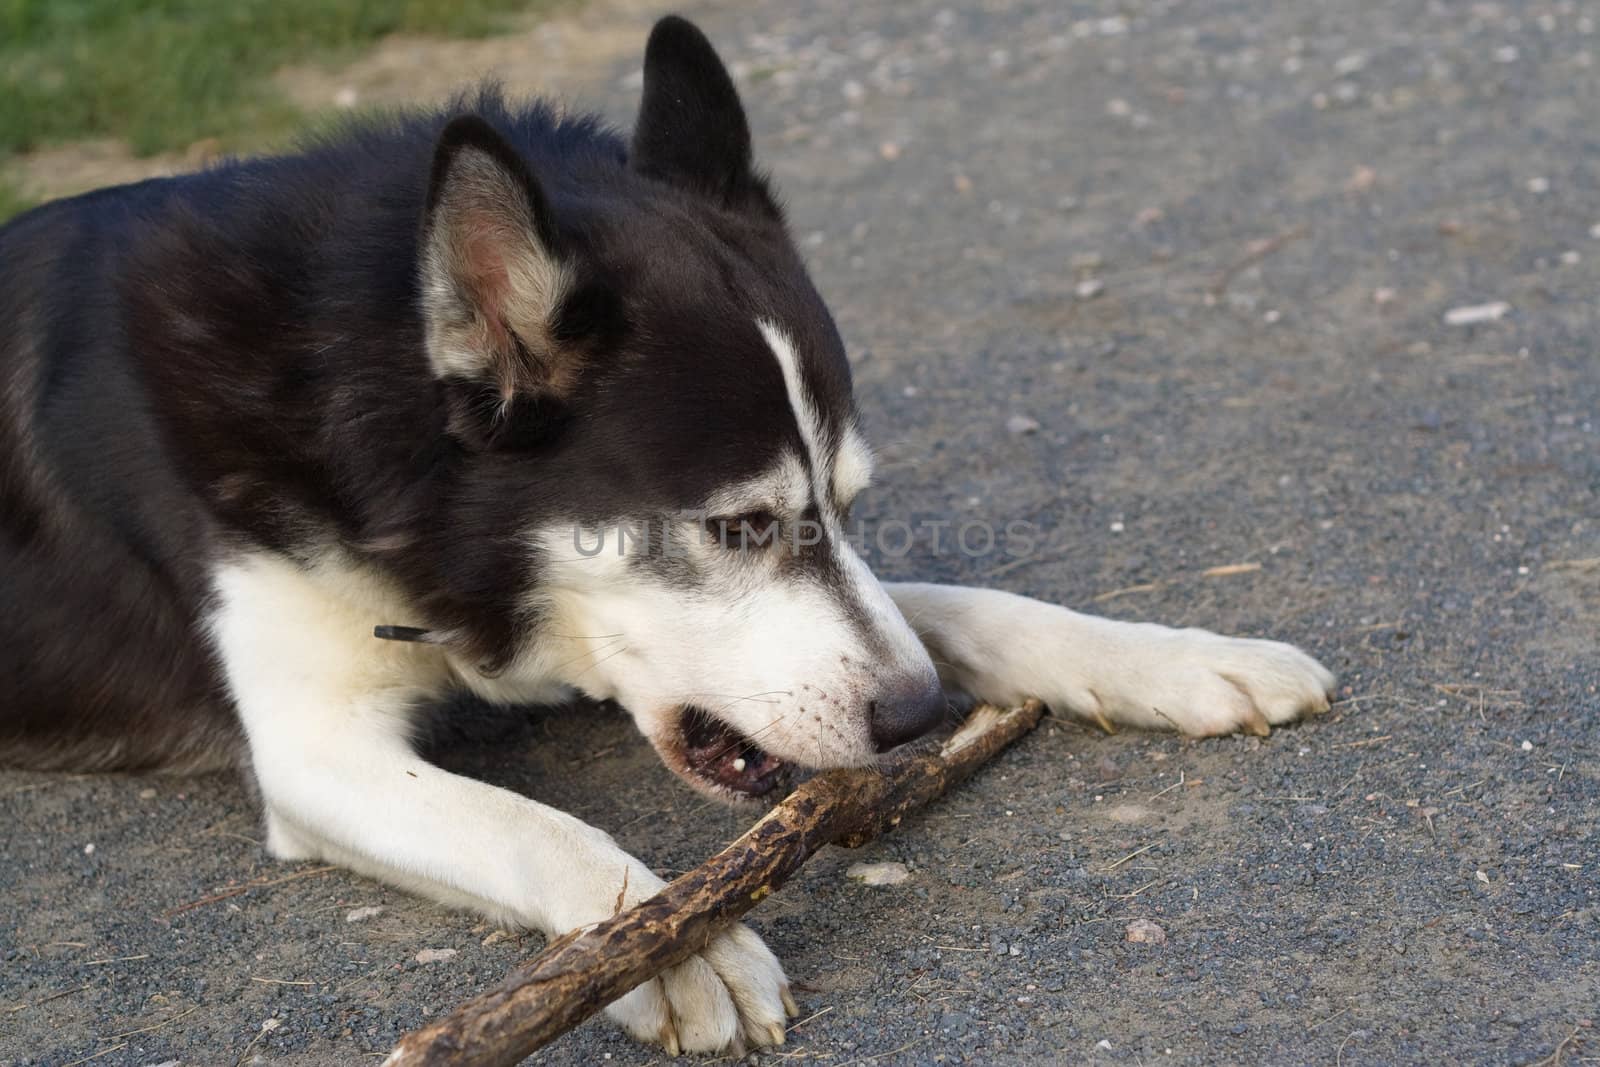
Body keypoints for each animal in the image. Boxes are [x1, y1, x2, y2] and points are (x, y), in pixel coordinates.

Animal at [0, 16, 1337, 1062]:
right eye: (736, 525)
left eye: (848, 502)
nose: (917, 721)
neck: (356, 398)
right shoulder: (312, 749)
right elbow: (529, 821)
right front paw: (667, 939)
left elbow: (960, 604)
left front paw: (1176, 656)